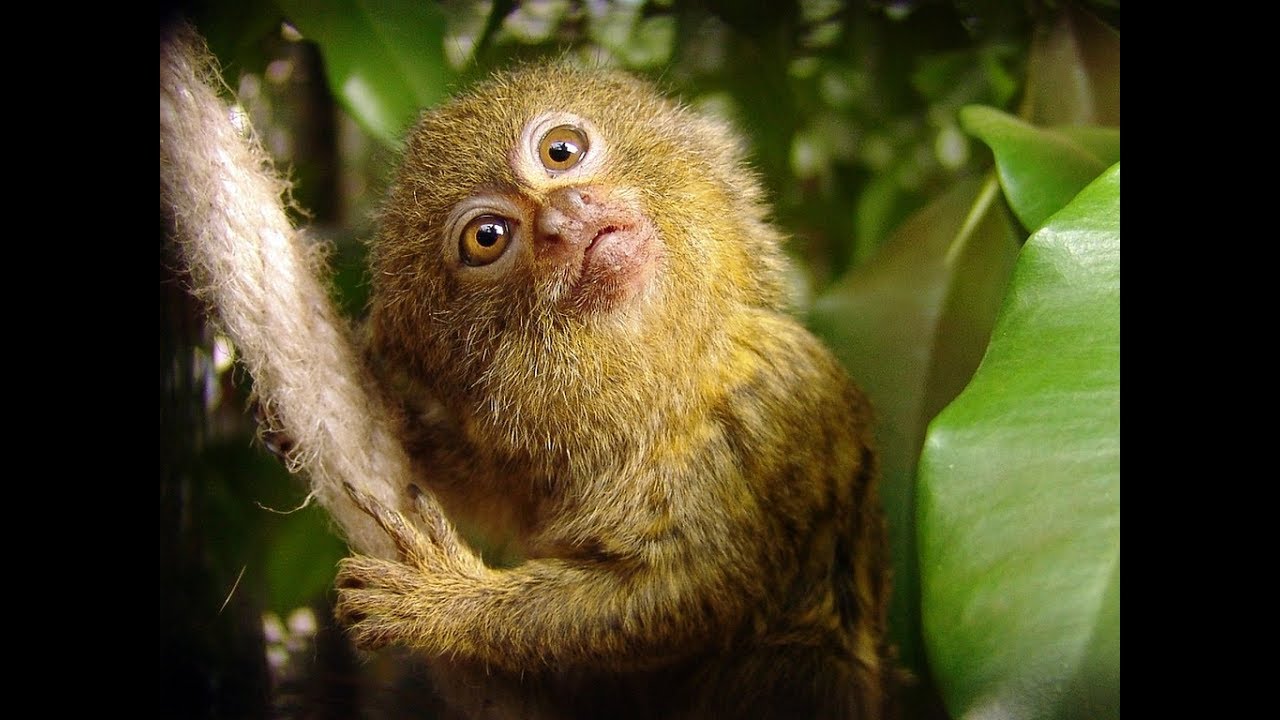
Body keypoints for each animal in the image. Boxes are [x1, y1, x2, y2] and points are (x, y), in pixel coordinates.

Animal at [159, 26, 894, 720]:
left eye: (561, 151)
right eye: (487, 237)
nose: (564, 220)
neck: (670, 394)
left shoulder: (779, 403)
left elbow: (685, 594)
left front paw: (445, 603)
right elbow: (498, 484)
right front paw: (392, 415)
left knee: (799, 663)